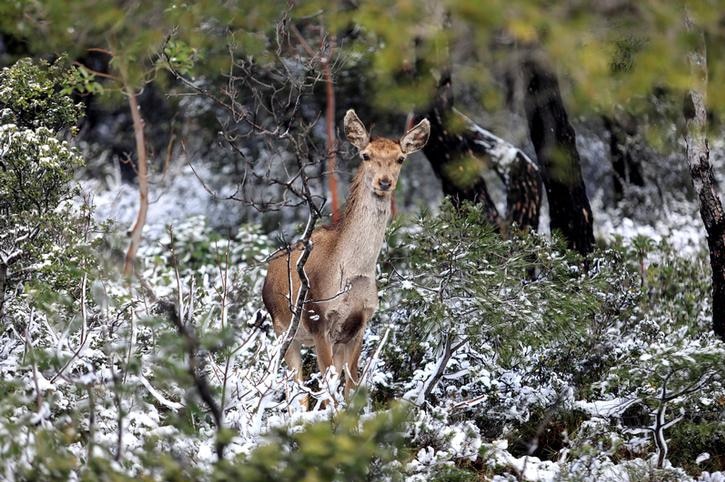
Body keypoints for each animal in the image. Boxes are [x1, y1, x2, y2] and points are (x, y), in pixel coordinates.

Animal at [264, 110, 428, 402]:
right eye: (365, 155)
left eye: (400, 158)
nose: (384, 182)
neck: (353, 273)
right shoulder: (318, 319)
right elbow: (328, 389)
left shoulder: (360, 323)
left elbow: (351, 384)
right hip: (283, 330)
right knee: (297, 390)